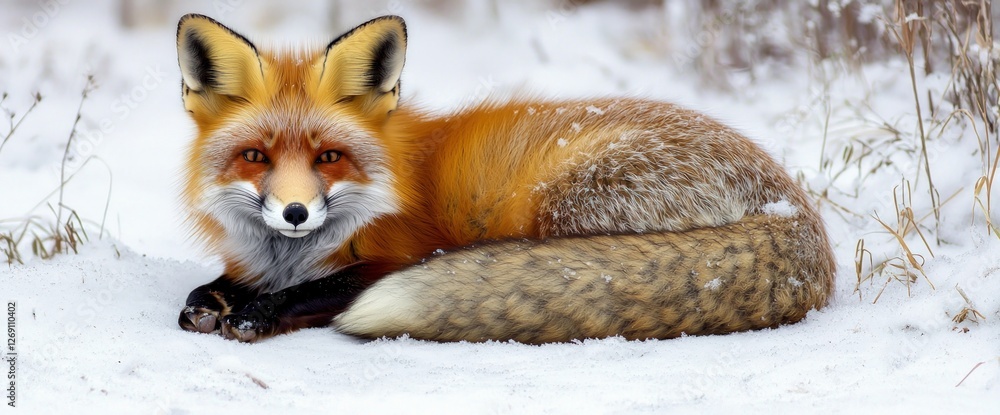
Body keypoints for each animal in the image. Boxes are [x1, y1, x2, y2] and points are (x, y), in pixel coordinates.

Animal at [175, 14, 836, 344]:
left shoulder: (399, 256)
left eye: (329, 157)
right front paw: (210, 301)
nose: (294, 213)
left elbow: (312, 292)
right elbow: (213, 289)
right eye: (255, 157)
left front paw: (257, 314)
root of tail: (792, 208)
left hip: (567, 206)